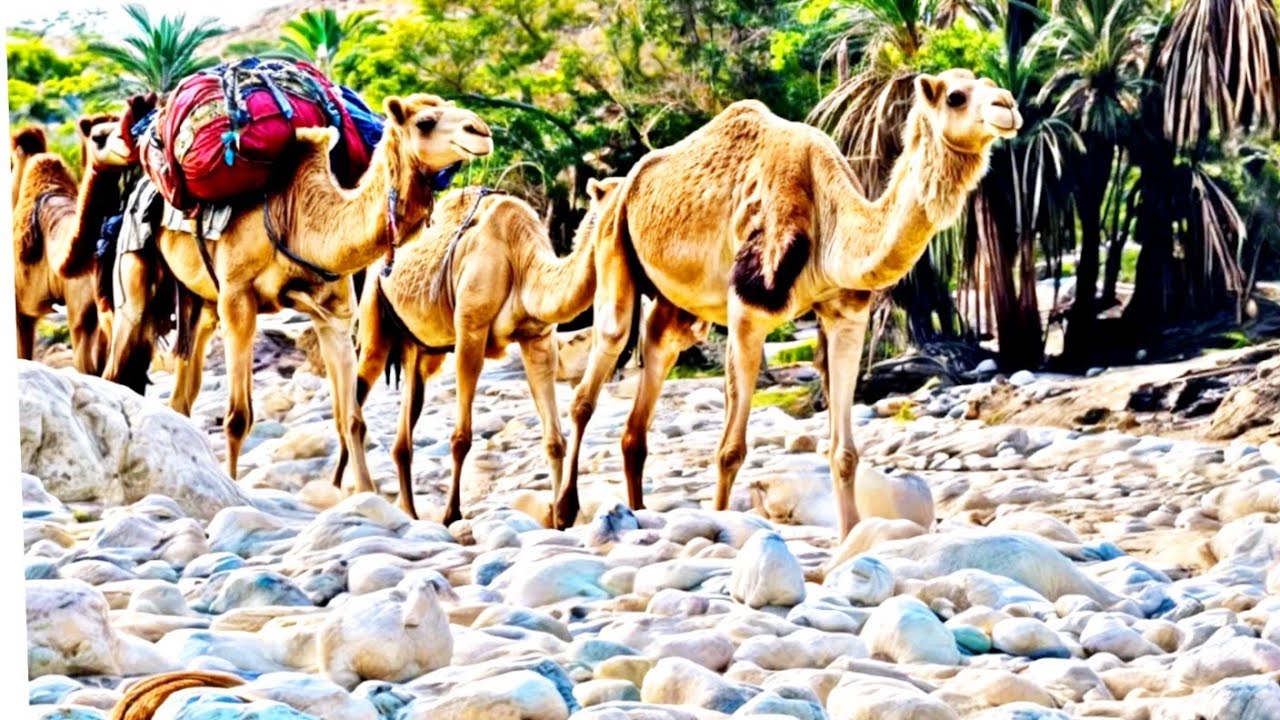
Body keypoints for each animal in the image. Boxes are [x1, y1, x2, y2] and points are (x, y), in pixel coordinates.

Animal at [90, 95, 493, 498]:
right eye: (425, 122)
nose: (481, 131)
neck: (303, 218)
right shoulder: (237, 298)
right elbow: (238, 417)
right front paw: (234, 488)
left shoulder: (334, 313)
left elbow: (352, 418)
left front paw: (365, 493)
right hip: (134, 270)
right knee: (116, 367)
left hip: (200, 304)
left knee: (181, 395)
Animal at [342, 178, 623, 521]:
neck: (520, 257)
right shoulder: (470, 330)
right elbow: (461, 438)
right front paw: (452, 514)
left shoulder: (537, 338)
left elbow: (554, 440)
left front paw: (560, 515)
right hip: (374, 315)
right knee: (356, 403)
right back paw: (364, 491)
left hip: (421, 348)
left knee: (404, 429)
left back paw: (408, 510)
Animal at [561, 69, 1021, 536]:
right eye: (956, 96)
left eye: (990, 84)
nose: (1008, 105)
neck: (829, 215)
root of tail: (616, 189)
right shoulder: (748, 308)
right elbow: (730, 450)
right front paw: (722, 524)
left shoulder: (846, 315)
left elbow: (844, 452)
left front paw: (851, 535)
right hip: (613, 244)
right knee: (596, 370)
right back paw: (563, 511)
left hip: (676, 310)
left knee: (645, 392)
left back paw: (638, 511)